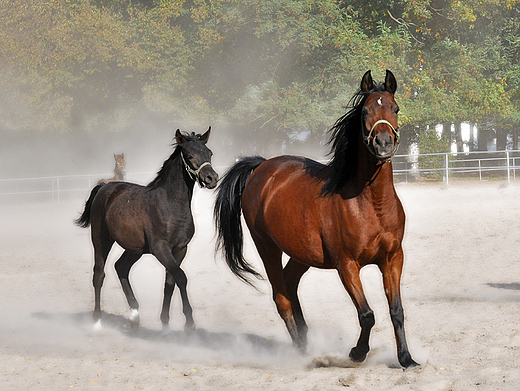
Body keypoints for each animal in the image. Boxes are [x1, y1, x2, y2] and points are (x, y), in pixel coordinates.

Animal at [75, 130, 217, 332]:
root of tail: (104, 187)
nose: (212, 178)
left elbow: (170, 282)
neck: (171, 204)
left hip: (135, 249)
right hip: (101, 239)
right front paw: (189, 323)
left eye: (209, 153)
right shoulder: (160, 248)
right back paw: (97, 321)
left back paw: (135, 316)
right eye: (190, 156)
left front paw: (165, 324)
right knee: (99, 274)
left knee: (121, 267)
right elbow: (181, 277)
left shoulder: (180, 249)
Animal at [213, 71, 420, 370]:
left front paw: (406, 359)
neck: (372, 205)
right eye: (365, 111)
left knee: (289, 284)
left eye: (395, 108)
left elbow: (397, 311)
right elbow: (367, 314)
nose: (383, 143)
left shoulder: (393, 259)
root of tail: (262, 167)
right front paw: (357, 353)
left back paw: (305, 338)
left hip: (302, 253)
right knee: (281, 297)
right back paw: (302, 353)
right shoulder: (347, 265)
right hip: (267, 247)